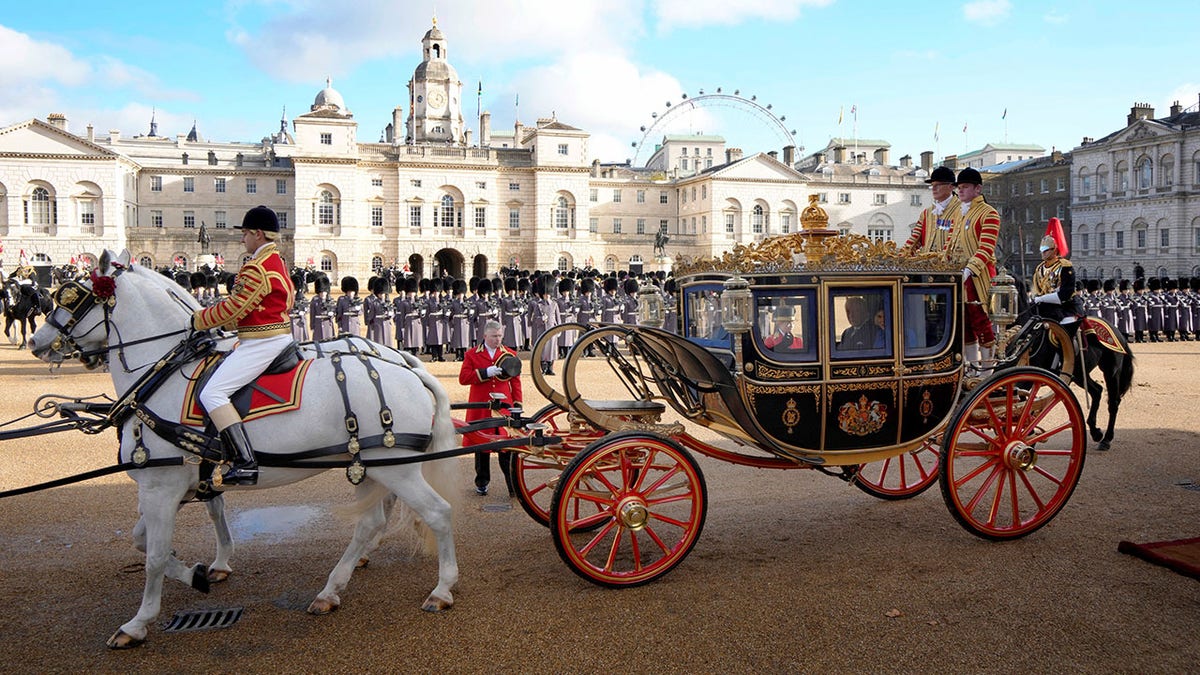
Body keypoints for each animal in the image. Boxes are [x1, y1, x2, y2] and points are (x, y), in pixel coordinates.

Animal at [29, 251, 458, 648]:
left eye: (72, 296)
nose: (37, 342)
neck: (162, 378)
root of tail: (408, 367)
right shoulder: (175, 485)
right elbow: (146, 540)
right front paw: (198, 573)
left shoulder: (161, 486)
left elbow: (154, 555)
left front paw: (138, 622)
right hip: (368, 464)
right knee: (370, 521)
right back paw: (331, 590)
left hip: (394, 467)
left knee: (437, 513)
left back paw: (441, 589)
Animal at [1012, 306, 1132, 451]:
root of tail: (1117, 332)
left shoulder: (1028, 379)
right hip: (1079, 375)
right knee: (1097, 391)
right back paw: (1095, 432)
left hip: (1111, 372)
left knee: (1113, 402)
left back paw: (1106, 439)